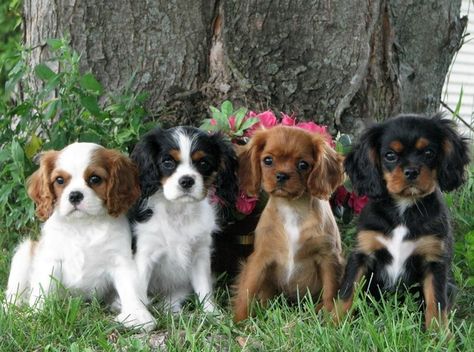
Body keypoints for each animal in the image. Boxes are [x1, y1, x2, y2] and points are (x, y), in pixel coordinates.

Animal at [129, 125, 237, 312]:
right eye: (167, 163)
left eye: (203, 163)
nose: (186, 180)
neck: (178, 210)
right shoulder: (145, 253)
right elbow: (139, 289)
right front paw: (138, 315)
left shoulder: (200, 254)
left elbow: (204, 288)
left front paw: (211, 313)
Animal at [233, 126, 344, 322]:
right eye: (268, 160)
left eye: (303, 165)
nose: (282, 175)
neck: (292, 208)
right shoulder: (260, 258)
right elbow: (247, 290)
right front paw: (239, 321)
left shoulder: (329, 257)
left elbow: (330, 291)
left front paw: (331, 319)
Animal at [336, 114, 470, 328]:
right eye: (390, 155)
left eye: (429, 152)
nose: (412, 171)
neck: (403, 209)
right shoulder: (362, 254)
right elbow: (347, 293)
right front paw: (332, 323)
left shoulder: (434, 261)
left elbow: (436, 303)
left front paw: (439, 334)